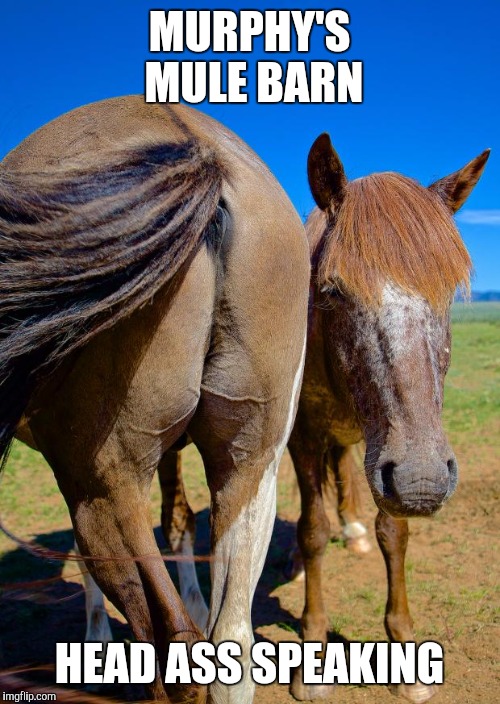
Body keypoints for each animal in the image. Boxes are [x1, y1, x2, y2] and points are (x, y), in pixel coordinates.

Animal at [0, 95, 310, 704]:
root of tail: (203, 153)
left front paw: (94, 644)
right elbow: (181, 521)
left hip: (103, 486)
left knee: (167, 646)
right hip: (251, 464)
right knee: (231, 643)